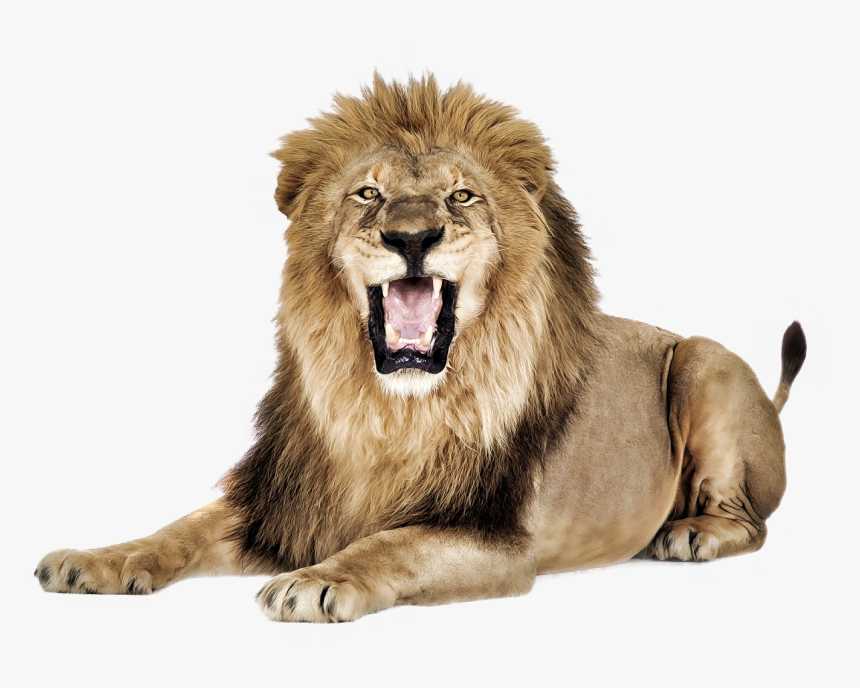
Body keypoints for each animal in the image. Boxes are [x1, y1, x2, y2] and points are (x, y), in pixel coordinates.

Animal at [35, 74, 806, 622]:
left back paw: (689, 534)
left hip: (704, 361)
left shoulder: (496, 538)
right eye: (367, 195)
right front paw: (93, 561)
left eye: (461, 197)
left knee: (753, 522)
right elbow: (178, 528)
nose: (411, 237)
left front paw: (318, 580)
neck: (387, 410)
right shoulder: (283, 500)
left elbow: (392, 541)